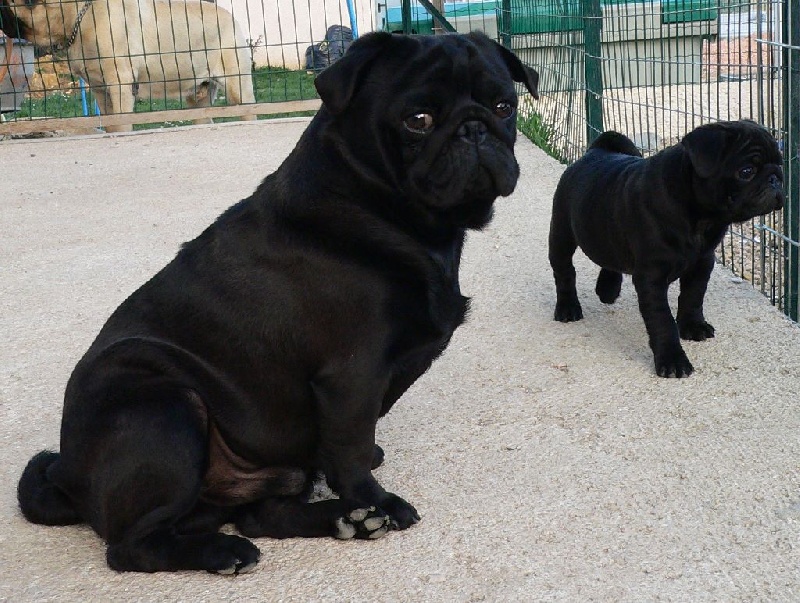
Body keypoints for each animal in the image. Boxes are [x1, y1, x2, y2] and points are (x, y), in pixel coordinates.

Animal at [4, 0, 255, 132]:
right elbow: (110, 122)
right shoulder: (100, 89)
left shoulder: (120, 85)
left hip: (238, 88)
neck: (80, 17)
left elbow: (121, 121)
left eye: (7, 5)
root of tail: (232, 18)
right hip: (198, 99)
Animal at [18, 33, 540, 576]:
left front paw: (361, 499)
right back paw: (229, 549)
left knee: (261, 514)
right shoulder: (352, 376)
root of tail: (65, 474)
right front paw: (374, 499)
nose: (476, 128)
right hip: (165, 407)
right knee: (132, 546)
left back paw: (342, 520)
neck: (390, 212)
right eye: (418, 119)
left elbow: (345, 447)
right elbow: (350, 449)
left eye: (505, 107)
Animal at [552, 120, 780, 378]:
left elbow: (693, 298)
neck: (701, 218)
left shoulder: (702, 264)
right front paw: (673, 360)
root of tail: (595, 151)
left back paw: (607, 289)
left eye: (780, 164)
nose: (775, 178)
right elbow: (663, 322)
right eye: (746, 172)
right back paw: (568, 308)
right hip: (561, 233)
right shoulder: (651, 278)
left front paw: (693, 326)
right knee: (564, 272)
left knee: (611, 258)